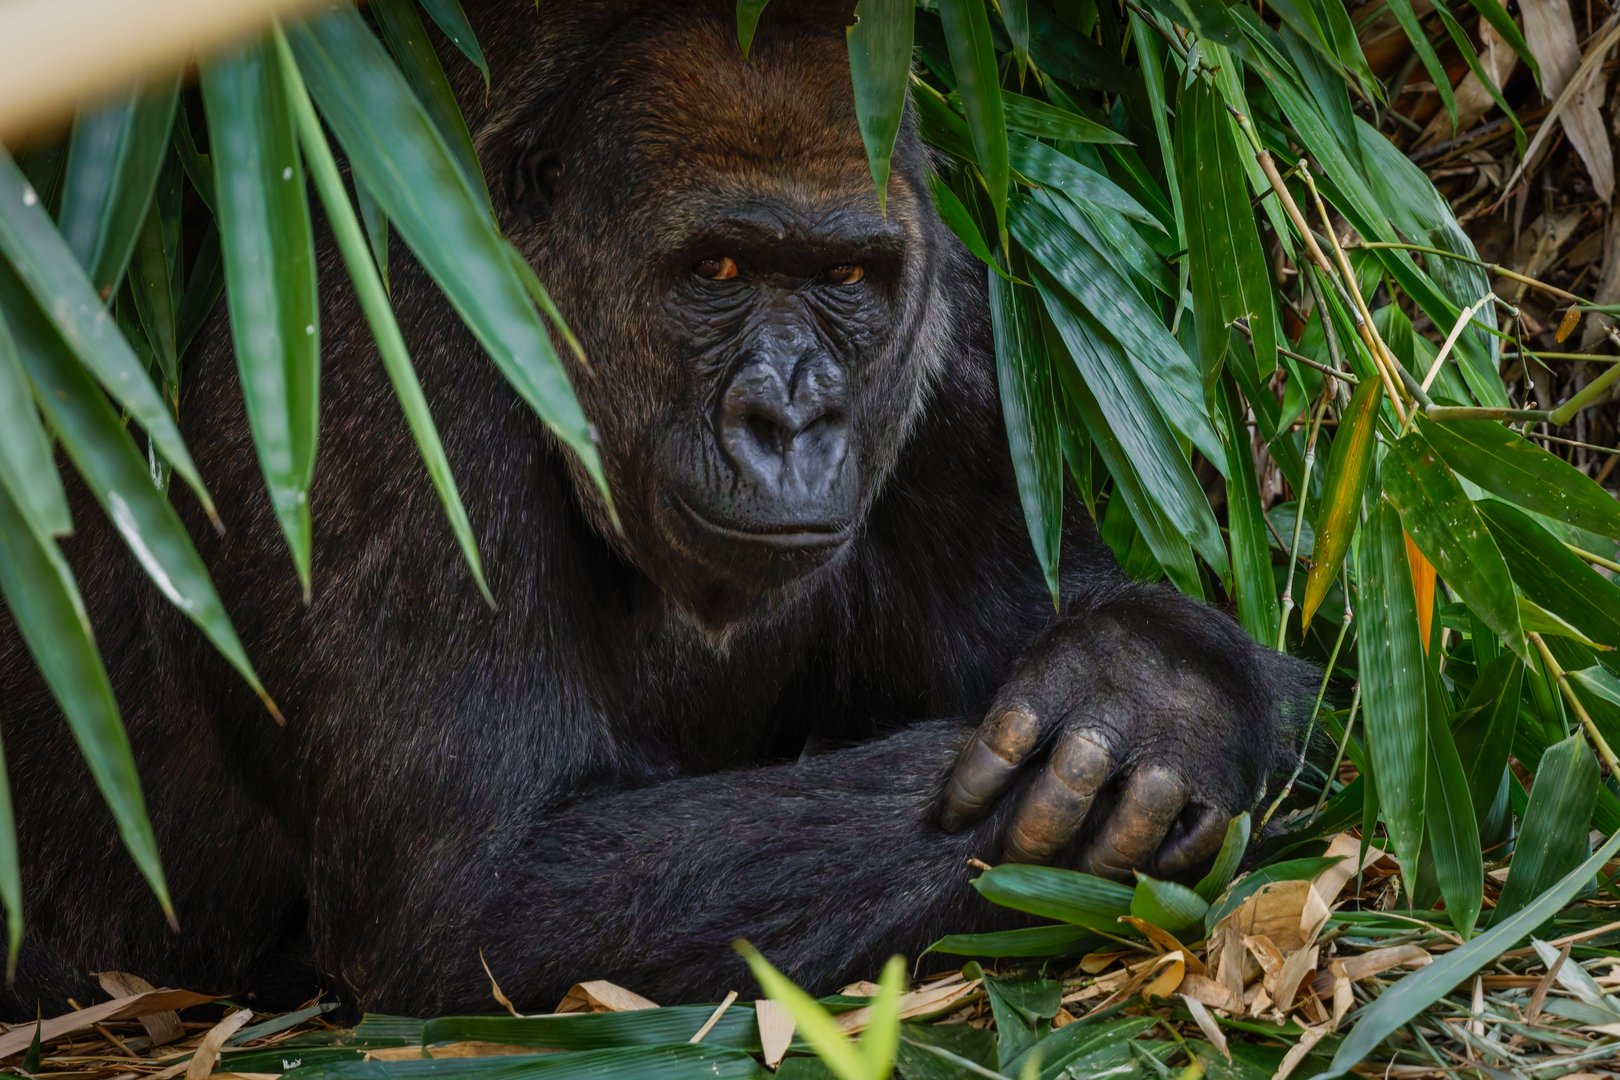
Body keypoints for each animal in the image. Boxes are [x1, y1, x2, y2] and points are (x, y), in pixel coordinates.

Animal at [0, 0, 1314, 1016]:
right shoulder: (397, 377)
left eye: (846, 277)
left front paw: (1155, 691)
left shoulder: (949, 340)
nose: (789, 415)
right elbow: (475, 898)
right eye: (717, 270)